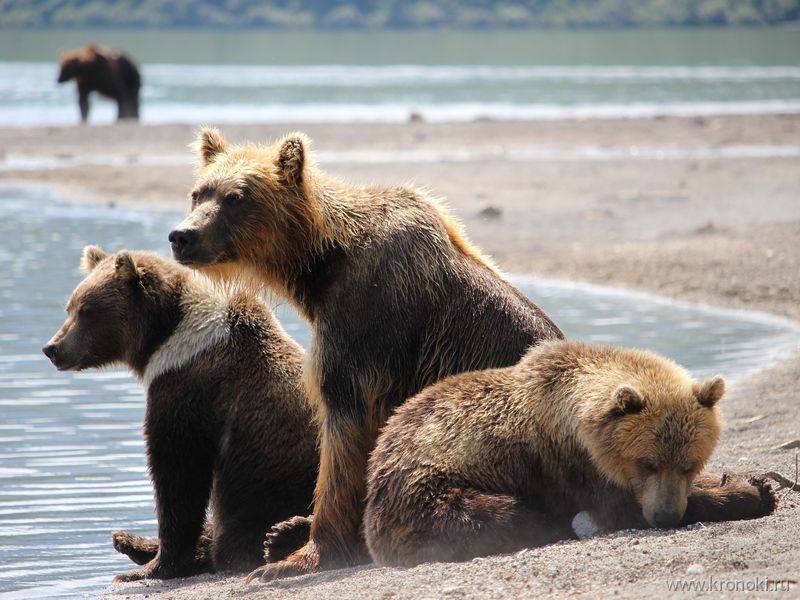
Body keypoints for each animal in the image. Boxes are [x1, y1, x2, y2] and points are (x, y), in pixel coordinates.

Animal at [43, 244, 318, 580]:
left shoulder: (186, 385)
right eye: (70, 307)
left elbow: (177, 470)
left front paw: (154, 567)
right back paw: (129, 540)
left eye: (86, 310)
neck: (165, 337)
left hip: (281, 489)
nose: (53, 348)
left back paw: (280, 537)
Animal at [166, 129, 564, 580]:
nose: (182, 236)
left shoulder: (366, 320)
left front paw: (299, 557)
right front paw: (293, 539)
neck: (319, 265)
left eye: (236, 197)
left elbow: (345, 431)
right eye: (198, 192)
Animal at [366, 340, 780, 564]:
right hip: (430, 492)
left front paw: (750, 481)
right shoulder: (572, 462)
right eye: (646, 462)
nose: (665, 516)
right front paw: (749, 493)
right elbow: (618, 507)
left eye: (689, 464)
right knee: (500, 514)